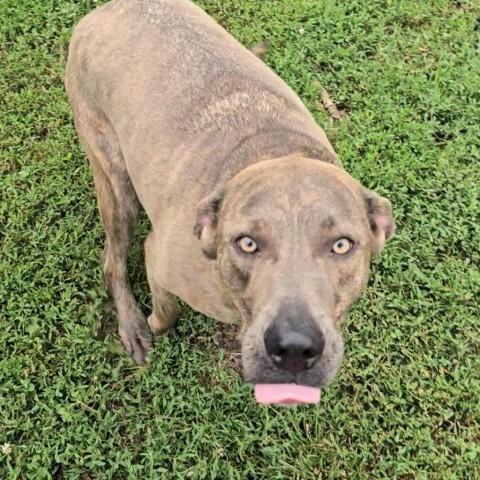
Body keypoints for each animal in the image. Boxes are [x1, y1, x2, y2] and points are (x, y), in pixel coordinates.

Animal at [64, 0, 394, 400]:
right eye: (247, 243)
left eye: (342, 245)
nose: (295, 348)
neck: (274, 150)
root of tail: (103, 11)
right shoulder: (159, 256)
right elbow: (167, 311)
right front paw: (155, 324)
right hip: (115, 180)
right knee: (112, 261)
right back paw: (133, 324)